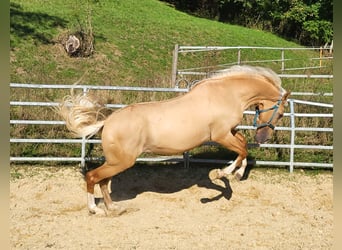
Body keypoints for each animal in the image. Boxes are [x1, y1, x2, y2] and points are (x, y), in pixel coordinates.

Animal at [57, 66, 290, 215]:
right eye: (280, 114)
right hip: (121, 162)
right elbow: (241, 150)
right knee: (93, 177)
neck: (227, 94)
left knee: (103, 181)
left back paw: (113, 208)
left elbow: (242, 146)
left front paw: (237, 173)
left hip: (116, 162)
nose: (263, 138)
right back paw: (94, 209)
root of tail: (107, 122)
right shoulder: (220, 135)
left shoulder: (230, 131)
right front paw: (222, 173)